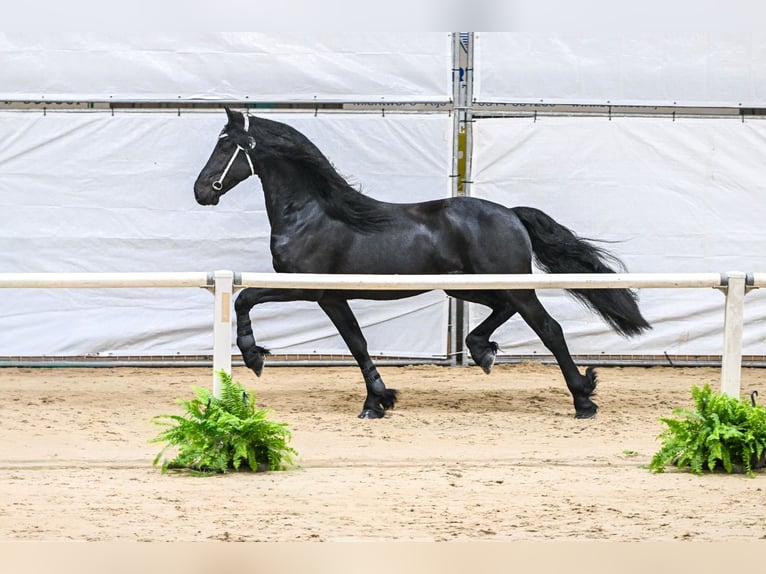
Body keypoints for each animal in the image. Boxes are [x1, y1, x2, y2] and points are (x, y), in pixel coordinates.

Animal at [194, 108, 651, 419]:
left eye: (227, 144)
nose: (201, 191)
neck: (313, 213)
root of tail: (511, 213)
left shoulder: (310, 288)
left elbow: (244, 299)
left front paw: (255, 358)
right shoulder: (334, 297)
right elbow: (357, 343)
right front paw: (378, 402)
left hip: (507, 284)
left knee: (549, 328)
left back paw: (583, 399)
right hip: (470, 285)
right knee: (502, 312)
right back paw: (483, 352)